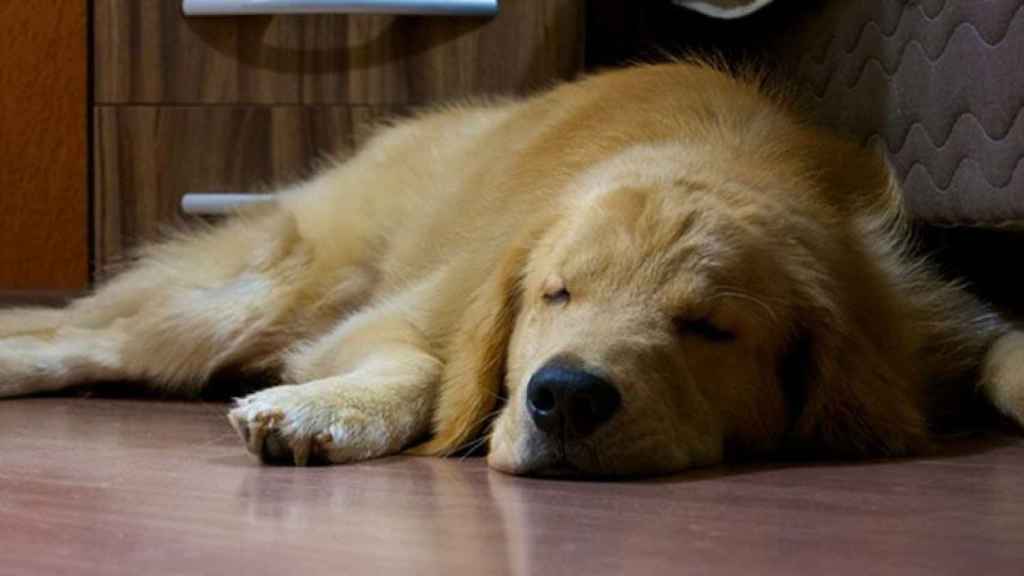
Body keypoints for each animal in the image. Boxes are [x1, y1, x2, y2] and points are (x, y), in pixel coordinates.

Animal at [2, 63, 1024, 475]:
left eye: (709, 329)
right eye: (554, 294)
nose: (565, 398)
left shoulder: (922, 319)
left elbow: (1004, 350)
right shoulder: (413, 312)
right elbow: (427, 366)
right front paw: (327, 411)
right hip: (261, 294)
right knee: (78, 333)